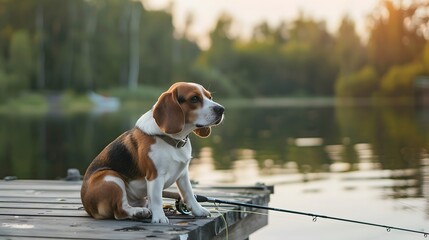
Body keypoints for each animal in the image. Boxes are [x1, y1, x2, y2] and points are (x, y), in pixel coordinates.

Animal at [81, 82, 226, 223]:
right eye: (194, 98)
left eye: (210, 97)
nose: (221, 109)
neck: (173, 141)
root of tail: (87, 206)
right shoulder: (155, 175)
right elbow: (156, 198)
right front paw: (160, 218)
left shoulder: (183, 174)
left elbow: (189, 193)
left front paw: (198, 210)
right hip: (110, 177)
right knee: (120, 210)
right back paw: (139, 212)